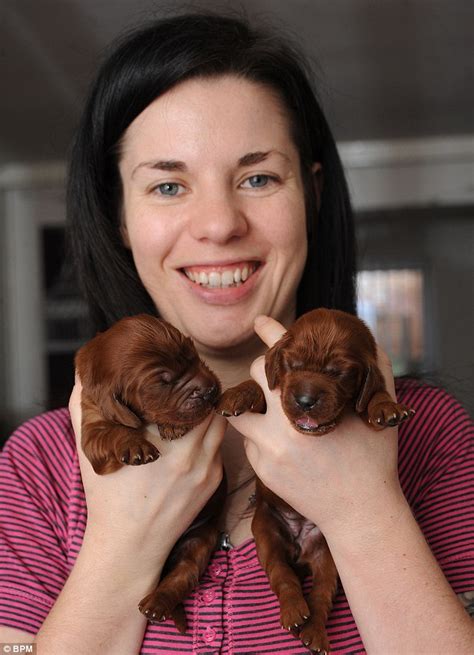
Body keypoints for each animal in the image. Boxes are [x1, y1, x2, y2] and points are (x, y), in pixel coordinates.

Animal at [75, 316, 223, 632]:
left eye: (193, 355)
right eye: (163, 382)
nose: (210, 390)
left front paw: (173, 426)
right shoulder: (92, 425)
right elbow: (114, 432)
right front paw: (136, 445)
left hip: (200, 539)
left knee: (184, 573)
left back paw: (157, 604)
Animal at [218, 310, 414, 652]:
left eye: (339, 373)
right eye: (292, 365)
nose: (305, 400)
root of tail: (299, 546)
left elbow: (375, 393)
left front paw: (387, 407)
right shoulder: (274, 398)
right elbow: (259, 389)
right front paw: (238, 393)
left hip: (327, 557)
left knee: (321, 594)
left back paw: (313, 633)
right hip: (266, 533)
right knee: (282, 574)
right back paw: (294, 611)